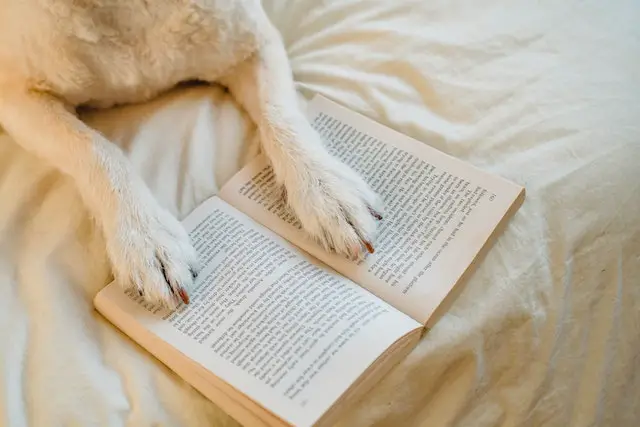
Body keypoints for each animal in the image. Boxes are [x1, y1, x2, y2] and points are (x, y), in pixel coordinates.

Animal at [0, 0, 380, 308]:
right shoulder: (17, 97)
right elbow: (95, 148)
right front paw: (145, 236)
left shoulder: (253, 43)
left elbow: (279, 114)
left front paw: (327, 190)